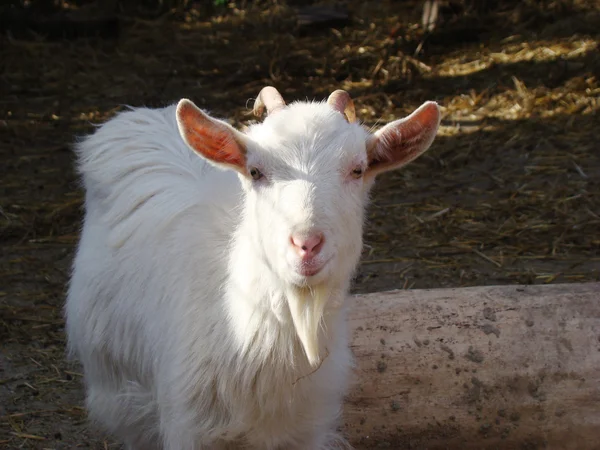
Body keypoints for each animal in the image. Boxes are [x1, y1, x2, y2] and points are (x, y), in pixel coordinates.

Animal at [65, 88, 440, 450]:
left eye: (358, 169)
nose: (306, 244)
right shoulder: (185, 428)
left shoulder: (307, 432)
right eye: (256, 172)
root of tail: (146, 112)